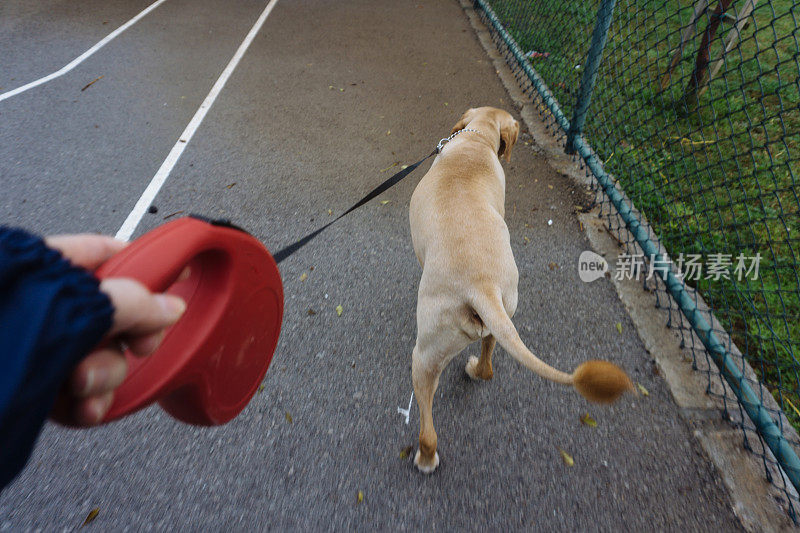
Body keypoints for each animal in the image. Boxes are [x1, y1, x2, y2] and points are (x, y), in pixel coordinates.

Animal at [410, 106, 636, 472]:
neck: (475, 141)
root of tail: (482, 287)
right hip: (503, 314)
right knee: (488, 365)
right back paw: (475, 369)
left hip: (426, 354)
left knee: (428, 423)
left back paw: (425, 458)